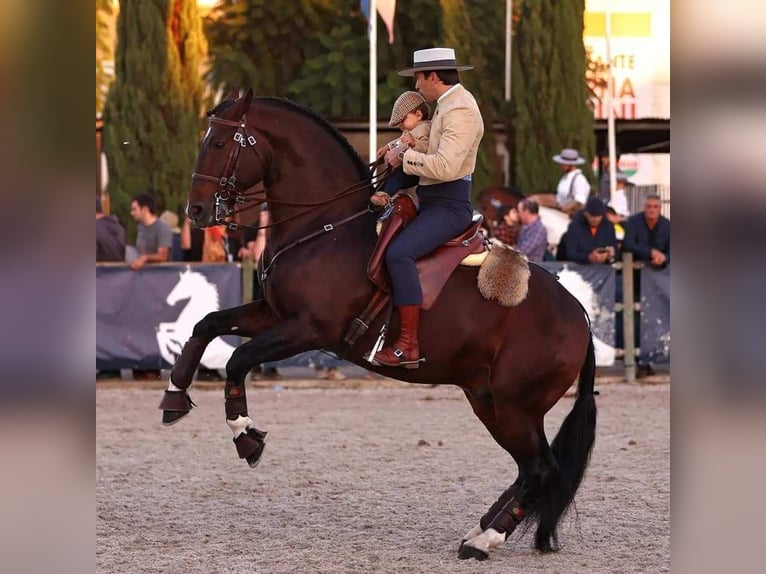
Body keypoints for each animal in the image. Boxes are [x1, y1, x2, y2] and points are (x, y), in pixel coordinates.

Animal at [162, 90, 600, 564]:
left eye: (220, 143)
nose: (196, 210)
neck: (324, 227)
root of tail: (578, 314)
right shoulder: (272, 315)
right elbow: (206, 326)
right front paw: (174, 396)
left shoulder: (307, 329)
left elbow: (238, 360)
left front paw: (246, 435)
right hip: (490, 402)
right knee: (530, 469)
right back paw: (481, 529)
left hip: (515, 405)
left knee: (540, 469)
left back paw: (485, 539)